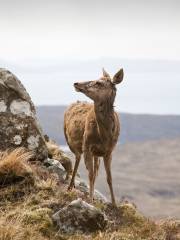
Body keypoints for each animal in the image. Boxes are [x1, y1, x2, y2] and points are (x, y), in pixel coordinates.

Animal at [63, 68, 124, 205]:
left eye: (99, 83)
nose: (76, 83)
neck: (104, 136)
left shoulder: (109, 151)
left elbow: (109, 177)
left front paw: (114, 203)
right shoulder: (87, 145)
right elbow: (90, 174)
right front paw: (90, 199)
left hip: (96, 154)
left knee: (95, 169)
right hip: (70, 141)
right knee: (77, 159)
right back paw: (70, 186)